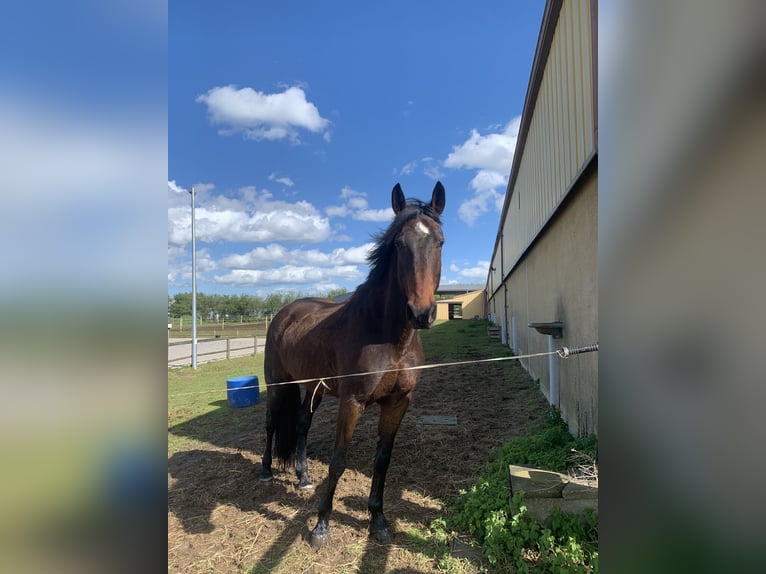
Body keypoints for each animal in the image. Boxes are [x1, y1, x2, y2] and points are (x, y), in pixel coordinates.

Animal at [260, 182, 448, 552]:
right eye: (398, 245)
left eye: (440, 241)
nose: (421, 313)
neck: (386, 335)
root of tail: (285, 312)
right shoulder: (352, 403)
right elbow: (339, 461)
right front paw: (321, 525)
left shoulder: (398, 403)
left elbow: (382, 461)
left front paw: (378, 521)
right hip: (278, 385)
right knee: (272, 422)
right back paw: (265, 471)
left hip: (313, 389)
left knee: (301, 425)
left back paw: (303, 476)